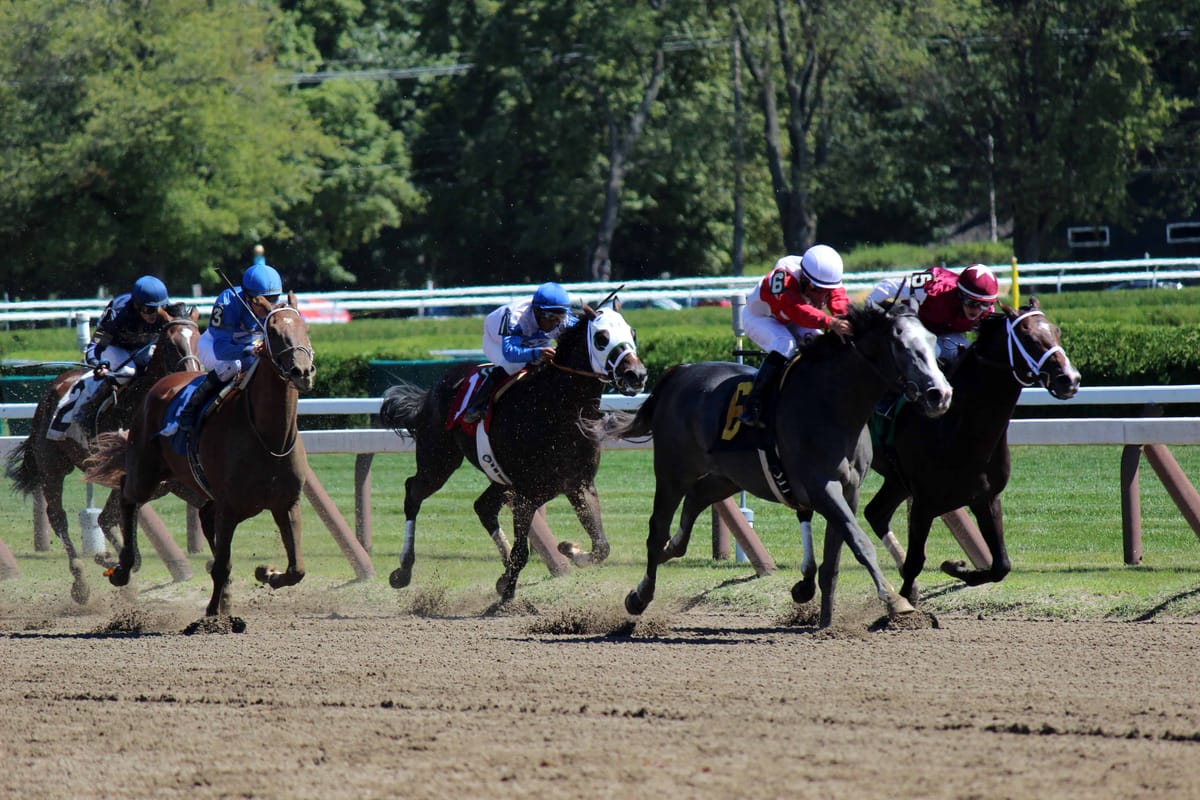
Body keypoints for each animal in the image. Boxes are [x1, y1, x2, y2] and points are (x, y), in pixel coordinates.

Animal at [3, 303, 200, 604]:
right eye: (172, 344)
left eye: (199, 337)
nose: (192, 374)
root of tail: (54, 385)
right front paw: (112, 560)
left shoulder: (168, 483)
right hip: (52, 466)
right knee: (58, 517)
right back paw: (80, 583)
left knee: (101, 517)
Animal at [87, 296, 316, 633]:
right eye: (272, 332)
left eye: (305, 327)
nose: (302, 371)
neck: (268, 435)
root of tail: (163, 382)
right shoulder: (230, 509)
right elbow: (221, 564)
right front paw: (211, 617)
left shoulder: (285, 503)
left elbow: (297, 568)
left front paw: (266, 573)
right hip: (147, 471)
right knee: (129, 497)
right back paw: (123, 569)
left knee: (204, 516)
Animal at [381, 307, 648, 599]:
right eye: (601, 337)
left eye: (633, 333)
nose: (636, 374)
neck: (557, 408)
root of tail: (434, 389)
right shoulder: (526, 494)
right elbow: (522, 554)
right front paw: (508, 590)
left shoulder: (578, 484)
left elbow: (601, 546)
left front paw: (569, 549)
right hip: (439, 461)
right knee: (413, 492)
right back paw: (403, 570)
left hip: (499, 478)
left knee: (483, 507)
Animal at [609, 299, 955, 623]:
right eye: (901, 345)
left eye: (932, 340)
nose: (940, 394)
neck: (833, 404)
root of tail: (679, 371)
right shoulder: (822, 487)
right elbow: (859, 540)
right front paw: (896, 601)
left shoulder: (850, 489)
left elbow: (834, 561)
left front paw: (826, 624)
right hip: (673, 470)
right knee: (657, 529)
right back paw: (640, 595)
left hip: (727, 476)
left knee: (695, 500)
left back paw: (672, 549)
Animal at [859, 297, 1084, 604]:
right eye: (1027, 336)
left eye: (1057, 331)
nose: (1069, 379)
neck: (959, 429)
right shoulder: (924, 504)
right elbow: (916, 562)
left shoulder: (986, 498)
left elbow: (1001, 566)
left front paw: (955, 567)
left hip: (897, 480)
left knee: (876, 513)